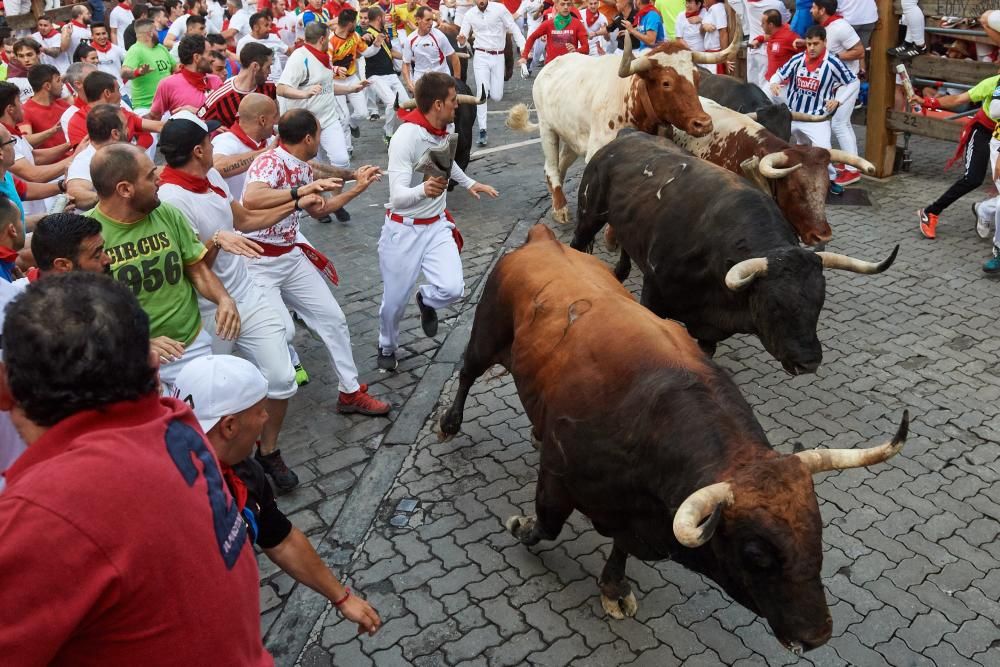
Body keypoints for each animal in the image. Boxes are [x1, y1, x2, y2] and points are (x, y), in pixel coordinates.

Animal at [442, 227, 912, 656]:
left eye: (818, 534)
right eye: (756, 554)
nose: (817, 636)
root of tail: (544, 239)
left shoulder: (638, 517)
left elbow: (621, 549)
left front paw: (614, 588)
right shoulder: (557, 476)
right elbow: (548, 523)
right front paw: (522, 528)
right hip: (485, 333)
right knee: (466, 373)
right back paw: (448, 422)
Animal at [512, 28, 740, 224]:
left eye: (697, 77)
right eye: (666, 82)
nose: (703, 123)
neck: (631, 99)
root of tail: (552, 64)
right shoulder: (598, 151)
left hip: (572, 138)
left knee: (560, 165)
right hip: (547, 129)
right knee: (550, 166)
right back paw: (560, 209)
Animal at [572, 130, 900, 376]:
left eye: (819, 302)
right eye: (775, 305)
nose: (808, 362)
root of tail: (627, 135)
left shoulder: (708, 332)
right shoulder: (653, 301)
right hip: (589, 216)